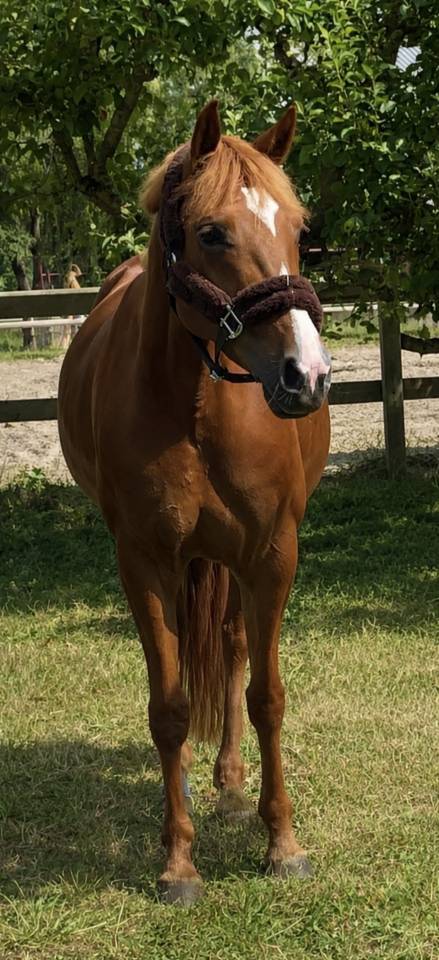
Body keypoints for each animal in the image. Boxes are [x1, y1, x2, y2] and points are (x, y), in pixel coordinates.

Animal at [58, 100, 331, 905]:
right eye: (211, 233)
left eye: (298, 228)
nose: (308, 375)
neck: (198, 406)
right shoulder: (145, 561)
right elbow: (171, 706)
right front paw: (178, 859)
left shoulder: (272, 554)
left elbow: (267, 695)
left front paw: (282, 843)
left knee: (235, 649)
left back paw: (232, 785)